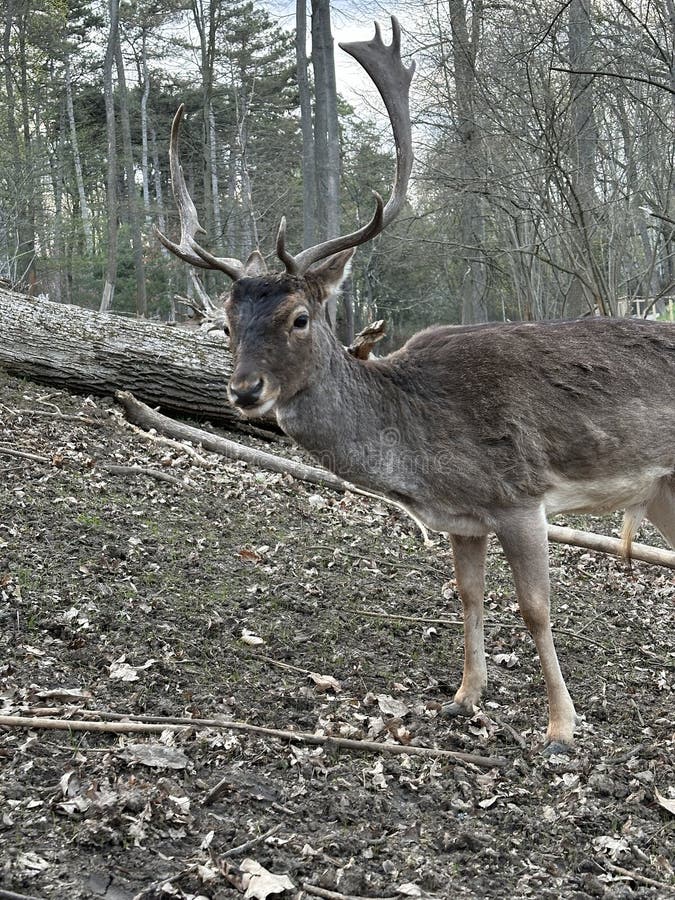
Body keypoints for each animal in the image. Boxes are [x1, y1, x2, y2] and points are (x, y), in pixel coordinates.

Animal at [158, 15, 675, 752]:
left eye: (299, 317)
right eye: (226, 322)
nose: (244, 391)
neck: (419, 446)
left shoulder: (519, 494)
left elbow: (535, 608)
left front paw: (559, 726)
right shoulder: (464, 518)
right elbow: (468, 595)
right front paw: (464, 698)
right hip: (660, 490)